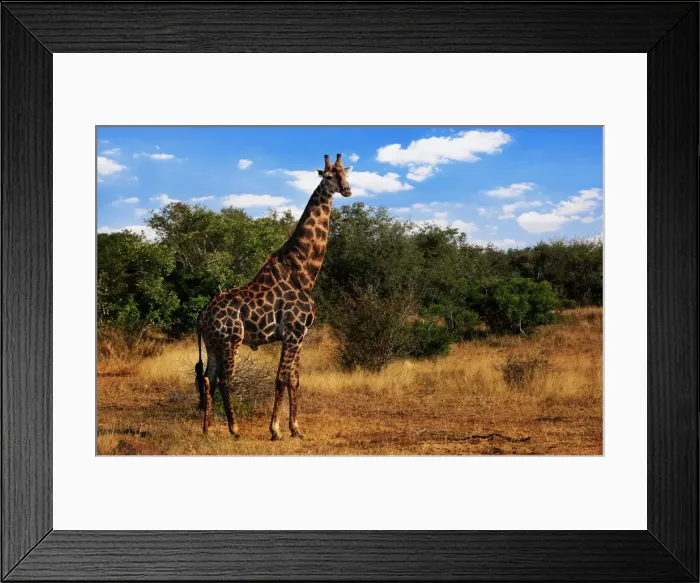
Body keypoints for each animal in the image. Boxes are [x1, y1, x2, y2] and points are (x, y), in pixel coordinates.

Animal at [195, 153, 352, 440]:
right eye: (327, 176)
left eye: (345, 174)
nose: (346, 190)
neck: (304, 273)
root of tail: (202, 315)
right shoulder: (291, 333)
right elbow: (280, 379)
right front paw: (275, 430)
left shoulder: (300, 335)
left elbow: (294, 380)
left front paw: (296, 429)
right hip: (230, 340)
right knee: (225, 380)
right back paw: (234, 429)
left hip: (212, 343)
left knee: (208, 379)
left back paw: (207, 429)